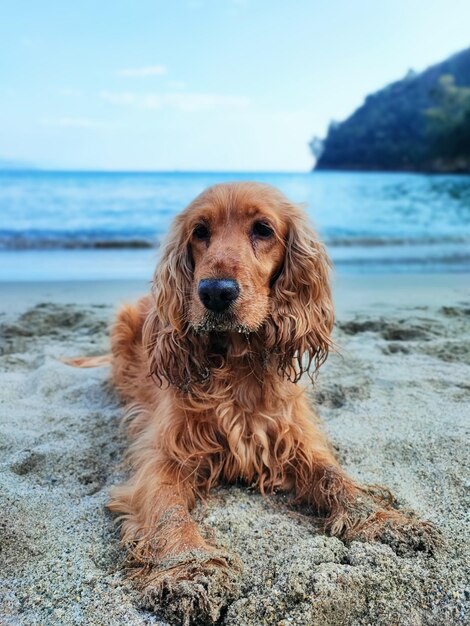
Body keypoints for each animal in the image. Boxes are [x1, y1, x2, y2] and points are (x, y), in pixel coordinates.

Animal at [69, 182, 436, 624]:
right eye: (199, 231)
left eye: (263, 229)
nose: (215, 292)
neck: (237, 367)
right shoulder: (163, 454)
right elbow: (168, 509)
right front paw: (188, 569)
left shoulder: (295, 439)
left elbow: (335, 478)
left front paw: (386, 520)